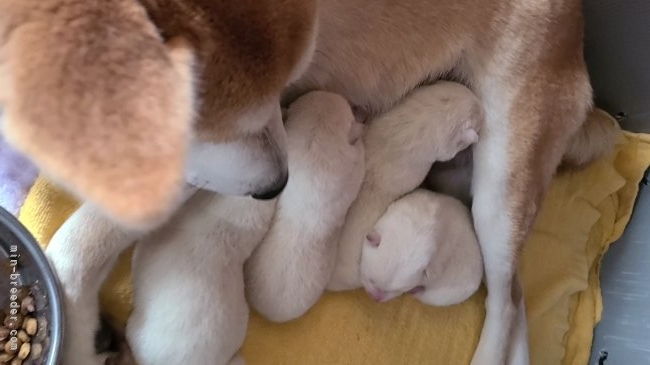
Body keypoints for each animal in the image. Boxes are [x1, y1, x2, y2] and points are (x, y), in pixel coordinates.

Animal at [244, 91, 364, 322]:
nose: (354, 103)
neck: (317, 138)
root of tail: (268, 312)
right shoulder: (351, 170)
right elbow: (360, 158)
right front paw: (361, 132)